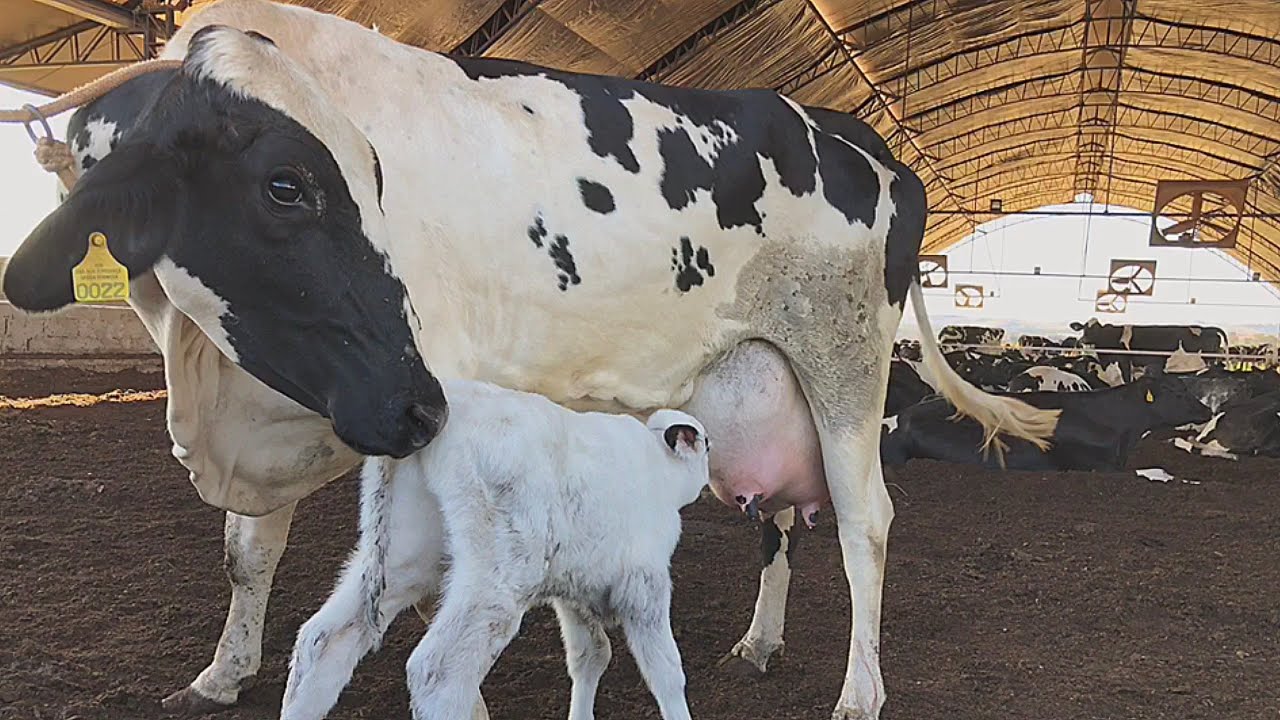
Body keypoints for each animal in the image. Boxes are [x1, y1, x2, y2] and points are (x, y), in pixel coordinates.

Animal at [280, 381, 710, 720]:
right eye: (706, 444)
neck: (660, 471)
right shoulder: (644, 585)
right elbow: (667, 673)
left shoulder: (574, 589)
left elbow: (590, 657)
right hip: (495, 577)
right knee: (437, 672)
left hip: (403, 553)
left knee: (323, 640)